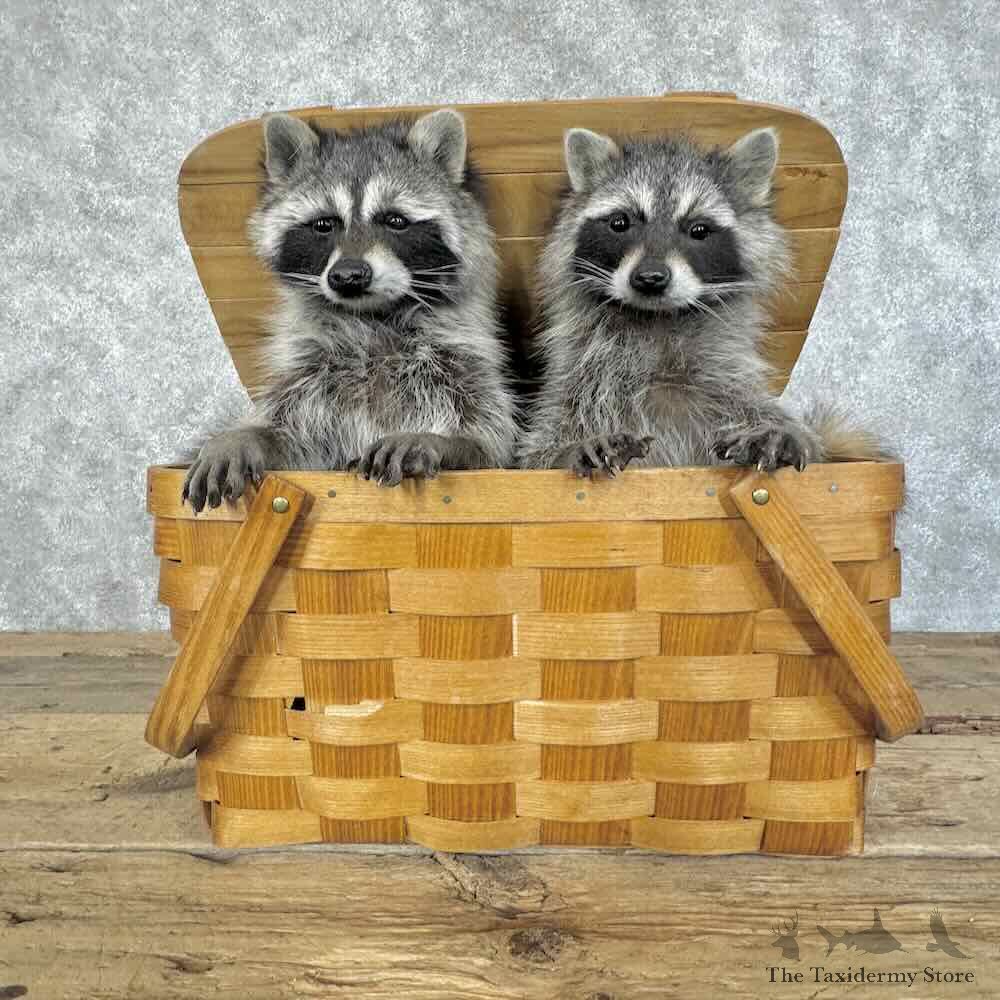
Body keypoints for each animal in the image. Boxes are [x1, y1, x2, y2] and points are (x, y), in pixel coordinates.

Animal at [182, 109, 517, 511]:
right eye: (324, 224)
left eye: (395, 221)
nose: (349, 275)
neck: (374, 318)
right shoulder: (308, 379)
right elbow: (296, 442)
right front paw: (246, 435)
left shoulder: (463, 370)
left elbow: (489, 445)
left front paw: (443, 441)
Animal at [519, 126, 888, 475]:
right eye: (620, 222)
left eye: (698, 229)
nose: (650, 278)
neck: (659, 322)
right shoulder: (577, 390)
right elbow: (539, 452)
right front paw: (569, 451)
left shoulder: (729, 387)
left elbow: (800, 436)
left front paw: (785, 436)